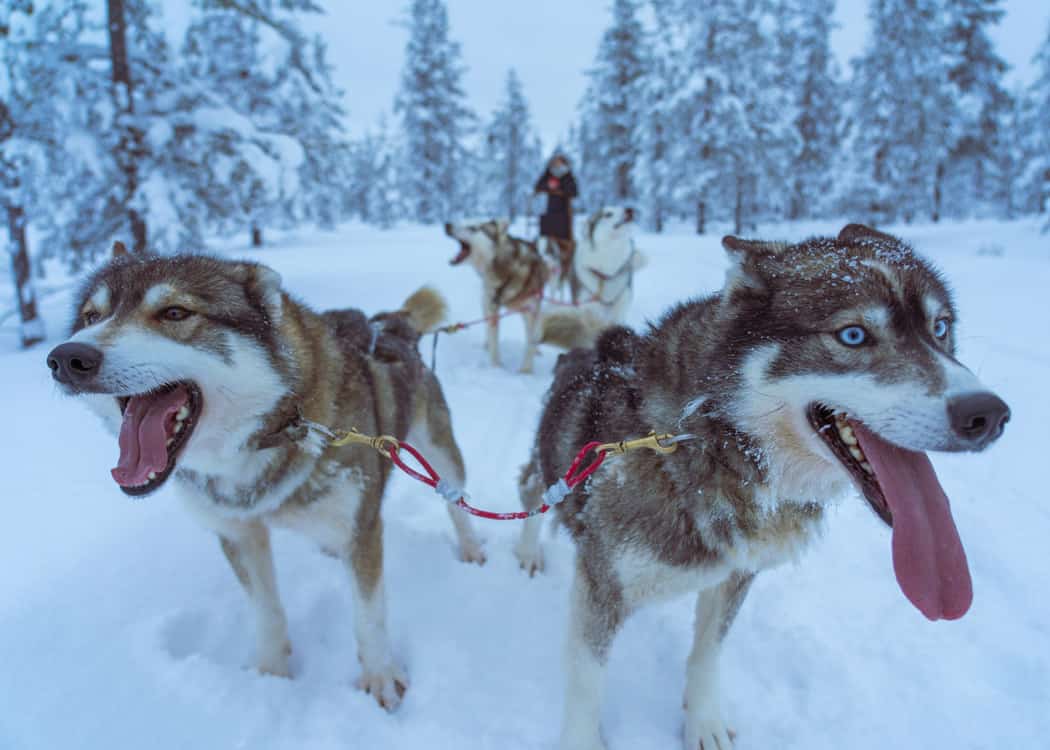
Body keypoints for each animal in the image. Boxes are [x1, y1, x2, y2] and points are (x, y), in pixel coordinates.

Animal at [43, 254, 480, 710]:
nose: (67, 357)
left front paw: (380, 677)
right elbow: (266, 610)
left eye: (175, 313)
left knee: (455, 503)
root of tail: (392, 324)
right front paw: (271, 675)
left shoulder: (362, 530)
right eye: (91, 317)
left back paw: (470, 547)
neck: (274, 429)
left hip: (441, 454)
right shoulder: (238, 533)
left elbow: (368, 616)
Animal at [443, 219, 550, 371]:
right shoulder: (492, 306)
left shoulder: (531, 310)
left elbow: (530, 342)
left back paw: (537, 350)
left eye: (473, 228)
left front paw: (526, 371)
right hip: (486, 302)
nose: (447, 224)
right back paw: (486, 344)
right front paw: (496, 367)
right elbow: (494, 339)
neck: (507, 271)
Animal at [516, 223, 1007, 747]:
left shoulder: (736, 574)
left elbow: (708, 652)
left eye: (941, 328)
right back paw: (527, 550)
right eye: (853, 335)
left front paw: (703, 720)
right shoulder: (601, 585)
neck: (712, 441)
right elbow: (587, 682)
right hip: (548, 472)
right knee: (530, 489)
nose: (987, 414)